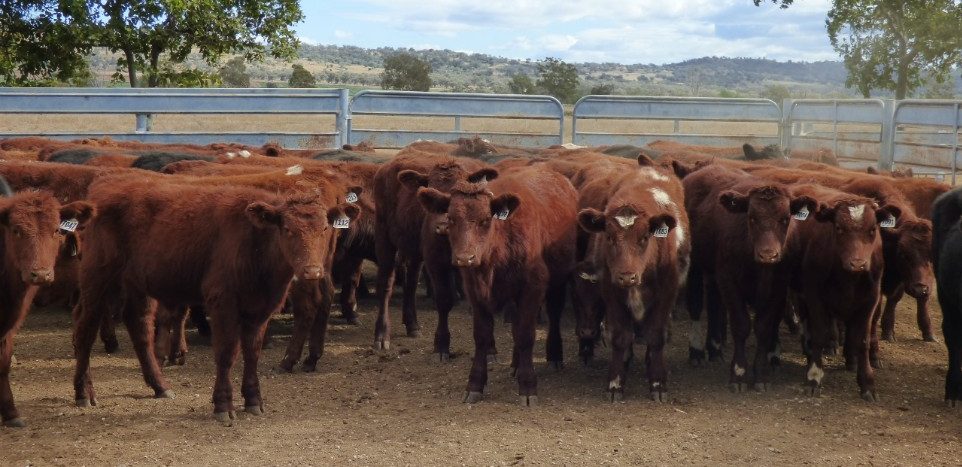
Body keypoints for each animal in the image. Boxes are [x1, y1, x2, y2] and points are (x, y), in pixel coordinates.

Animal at [71, 177, 356, 426]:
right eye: (287, 230)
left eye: (324, 228)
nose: (312, 271)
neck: (255, 244)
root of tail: (103, 194)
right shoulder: (223, 303)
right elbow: (227, 354)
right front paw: (223, 405)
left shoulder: (260, 308)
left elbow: (252, 353)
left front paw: (254, 400)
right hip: (97, 278)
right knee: (86, 328)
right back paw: (83, 392)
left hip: (137, 284)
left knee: (139, 326)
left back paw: (160, 386)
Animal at [416, 165, 572, 406]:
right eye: (451, 218)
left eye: (485, 220)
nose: (465, 258)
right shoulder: (475, 292)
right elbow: (482, 336)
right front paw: (475, 384)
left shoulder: (533, 287)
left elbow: (526, 335)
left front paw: (528, 386)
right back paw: (516, 365)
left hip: (558, 280)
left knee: (553, 314)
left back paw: (554, 356)